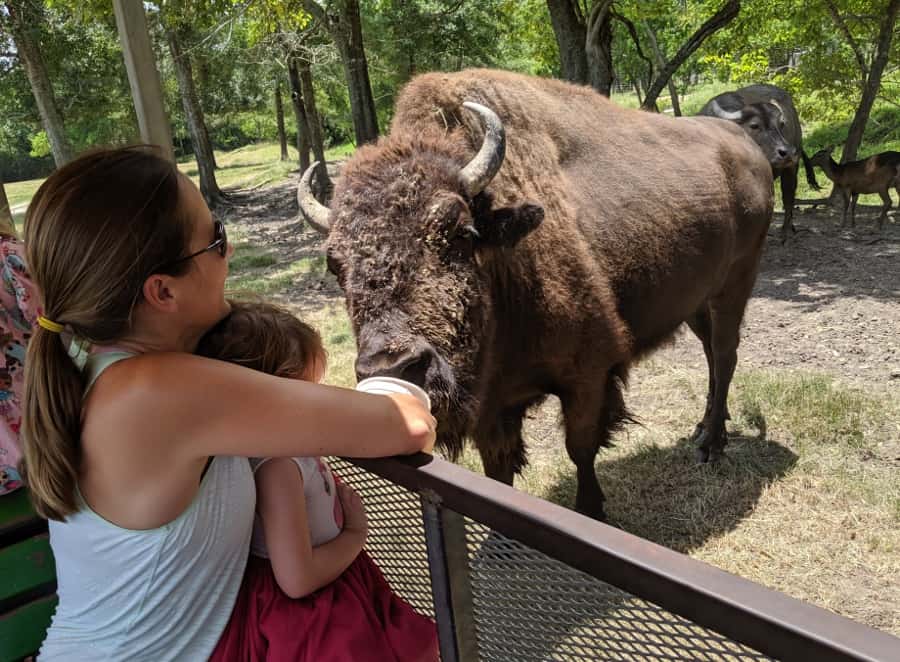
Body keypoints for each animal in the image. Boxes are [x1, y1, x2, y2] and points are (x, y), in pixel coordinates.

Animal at [298, 68, 772, 524]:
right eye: (335, 264)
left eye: (461, 233)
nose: (394, 367)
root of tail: (748, 145)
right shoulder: (492, 406)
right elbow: (499, 470)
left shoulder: (588, 375)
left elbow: (581, 448)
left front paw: (592, 511)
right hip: (696, 300)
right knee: (711, 354)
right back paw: (705, 429)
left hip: (736, 284)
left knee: (725, 354)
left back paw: (711, 445)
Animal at [700, 83, 820, 244]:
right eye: (754, 126)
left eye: (781, 124)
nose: (788, 152)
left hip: (791, 168)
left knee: (788, 197)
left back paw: (785, 233)